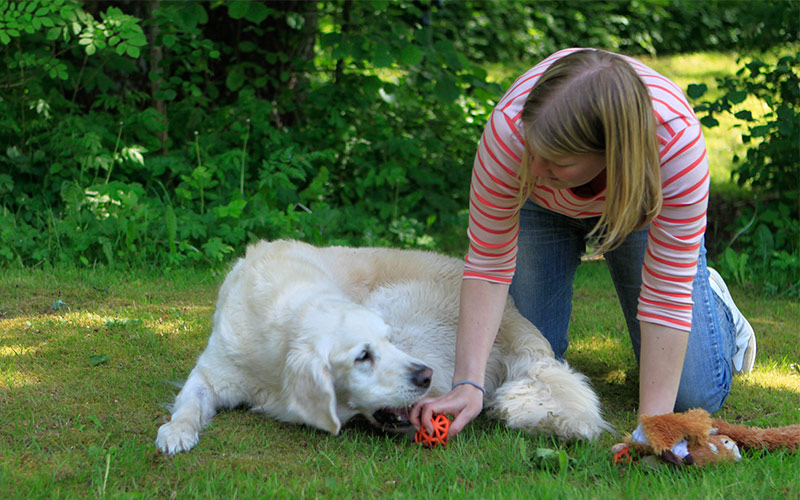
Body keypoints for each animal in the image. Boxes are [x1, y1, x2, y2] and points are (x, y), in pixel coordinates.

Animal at [155, 238, 608, 454]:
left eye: (387, 341)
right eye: (362, 357)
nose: (422, 374)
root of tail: (513, 316)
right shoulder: (211, 372)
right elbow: (189, 403)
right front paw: (176, 432)